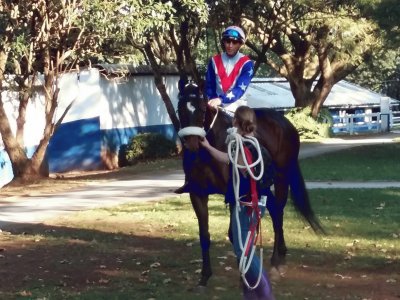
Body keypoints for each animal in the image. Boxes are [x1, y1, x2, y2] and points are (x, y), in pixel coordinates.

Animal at [177, 81, 324, 288]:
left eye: (202, 108)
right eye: (180, 108)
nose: (192, 142)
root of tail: (285, 122)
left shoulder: (235, 193)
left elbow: (235, 233)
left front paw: (245, 274)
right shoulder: (197, 194)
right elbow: (204, 235)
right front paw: (205, 275)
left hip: (281, 179)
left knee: (278, 212)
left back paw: (276, 262)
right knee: (273, 210)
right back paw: (280, 255)